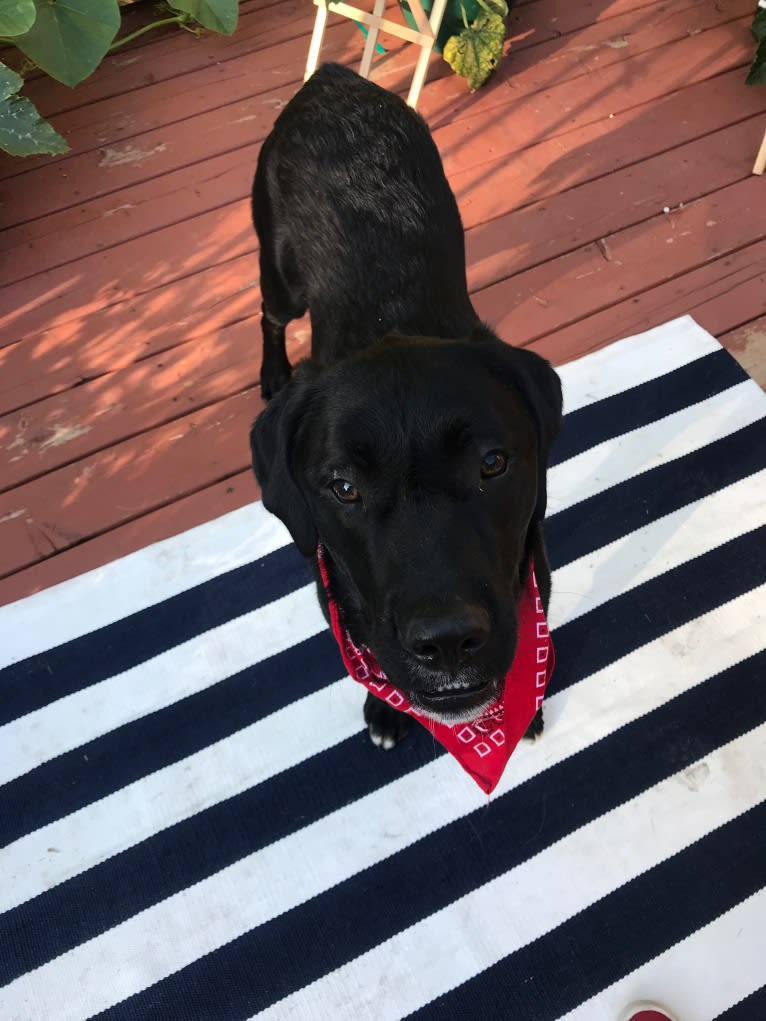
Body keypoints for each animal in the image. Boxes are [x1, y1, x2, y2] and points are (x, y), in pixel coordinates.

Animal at [252, 63, 563, 751]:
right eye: (342, 486)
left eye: (493, 463)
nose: (447, 642)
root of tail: (331, 78)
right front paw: (386, 709)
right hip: (280, 273)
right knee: (269, 316)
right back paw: (272, 374)